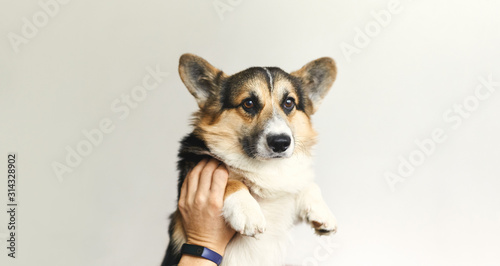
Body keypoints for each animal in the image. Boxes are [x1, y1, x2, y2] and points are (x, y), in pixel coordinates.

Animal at [162, 54, 338, 266]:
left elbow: (307, 184)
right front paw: (247, 211)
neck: (266, 166)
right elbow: (232, 180)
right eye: (248, 103)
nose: (281, 142)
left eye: (289, 102)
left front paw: (322, 211)